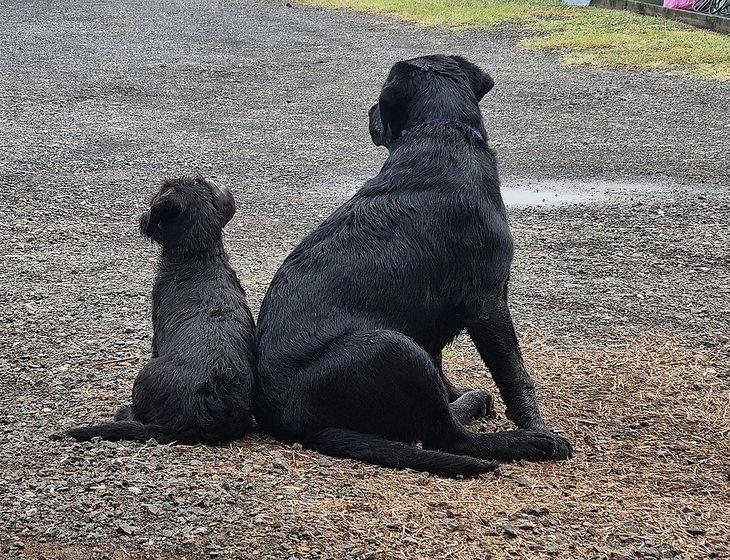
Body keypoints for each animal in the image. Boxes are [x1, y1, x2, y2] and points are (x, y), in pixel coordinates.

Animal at [253, 53, 572, 476]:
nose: (369, 113)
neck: (441, 131)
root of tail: (290, 421)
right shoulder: (487, 302)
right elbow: (515, 374)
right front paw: (537, 426)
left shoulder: (432, 320)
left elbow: (443, 366)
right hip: (393, 345)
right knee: (447, 437)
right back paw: (524, 441)